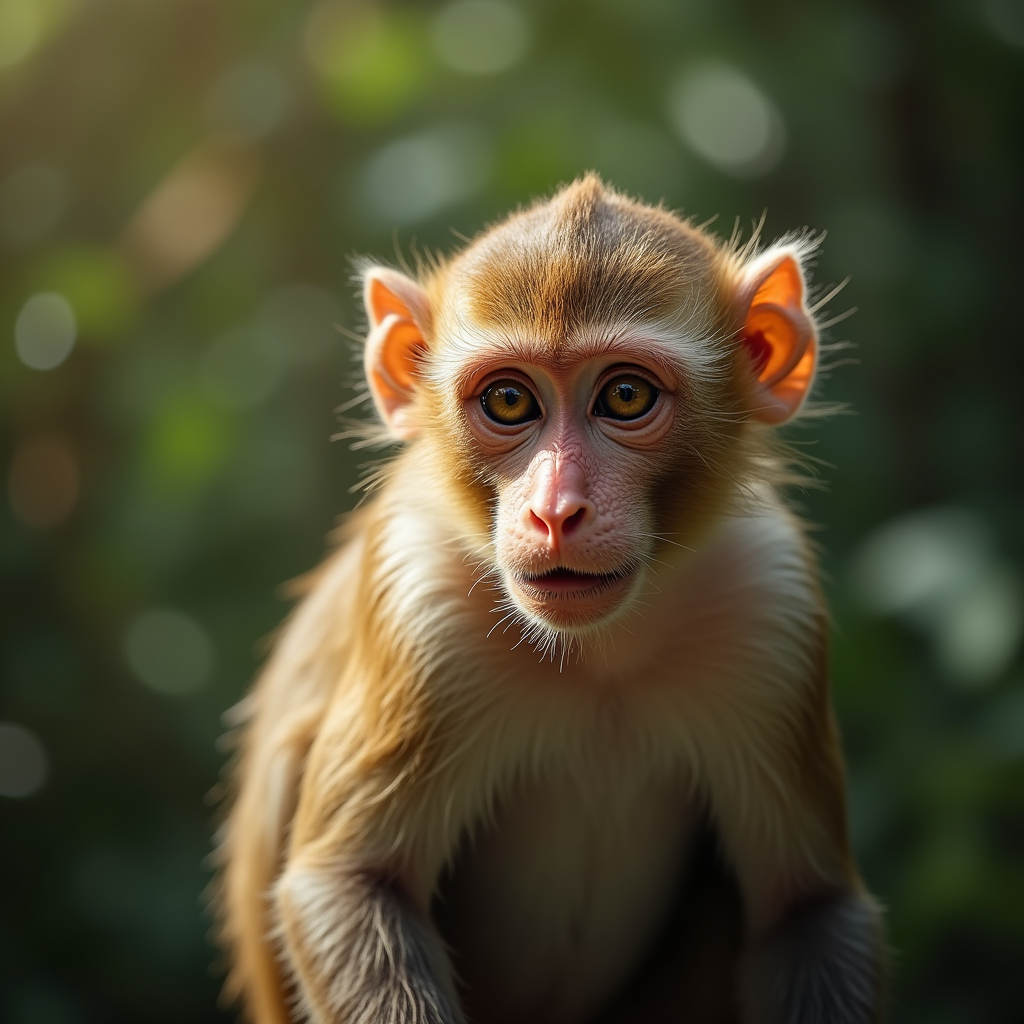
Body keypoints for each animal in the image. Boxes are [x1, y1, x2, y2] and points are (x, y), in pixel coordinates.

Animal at [215, 174, 885, 1024]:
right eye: (508, 401)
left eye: (625, 395)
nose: (555, 511)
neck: (603, 652)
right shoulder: (420, 598)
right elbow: (348, 884)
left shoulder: (774, 601)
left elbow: (807, 909)